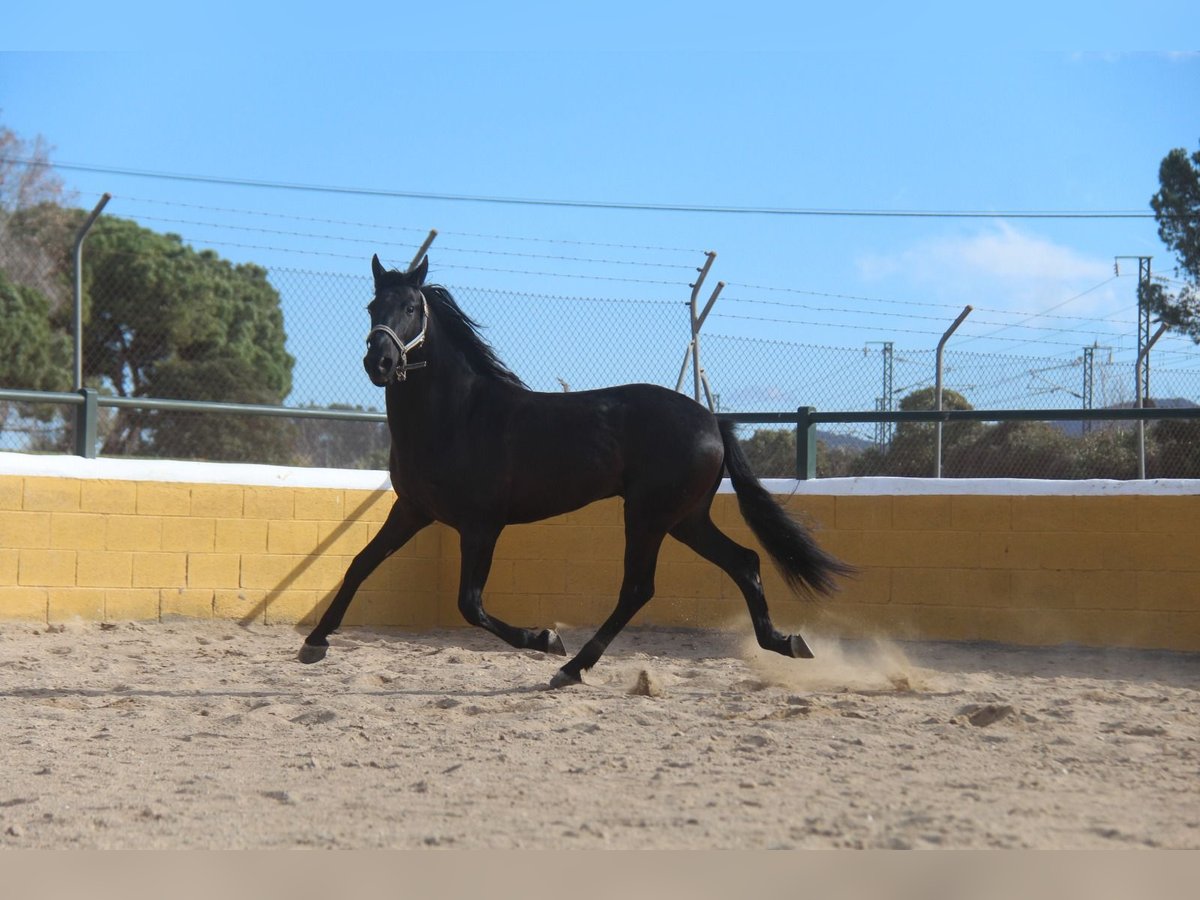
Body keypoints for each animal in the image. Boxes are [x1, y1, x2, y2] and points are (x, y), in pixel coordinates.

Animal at [302, 255, 854, 691]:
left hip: (649, 516)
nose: (379, 361)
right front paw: (313, 643)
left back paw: (570, 667)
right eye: (372, 308)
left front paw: (546, 639)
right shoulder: (414, 510)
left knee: (639, 588)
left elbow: (469, 604)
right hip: (685, 518)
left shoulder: (481, 526)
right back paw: (786, 642)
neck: (458, 416)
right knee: (744, 562)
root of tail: (712, 421)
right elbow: (359, 565)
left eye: (412, 309)